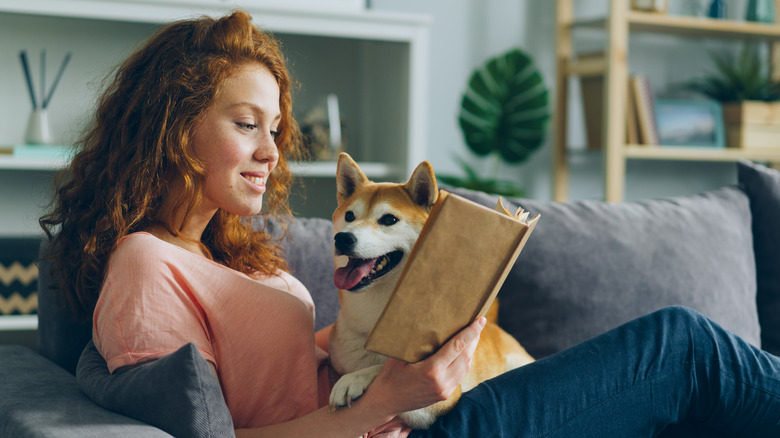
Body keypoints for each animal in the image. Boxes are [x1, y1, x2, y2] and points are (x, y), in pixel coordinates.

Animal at [326, 153, 532, 428]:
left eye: (389, 219)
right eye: (349, 216)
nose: (343, 238)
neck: (373, 326)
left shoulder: (440, 398)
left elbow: (384, 371)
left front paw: (353, 380)